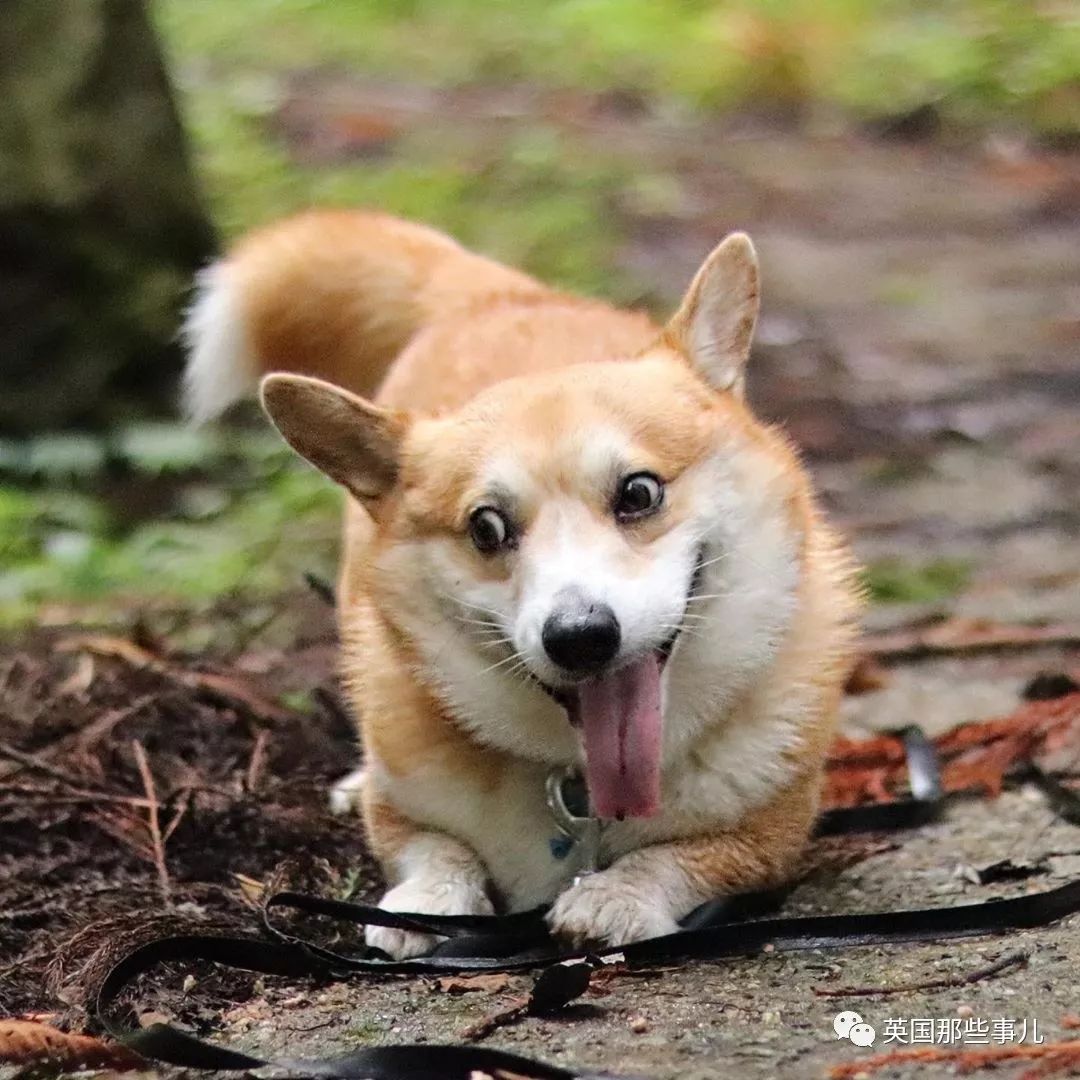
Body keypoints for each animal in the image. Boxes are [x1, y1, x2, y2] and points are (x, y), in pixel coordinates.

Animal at [185, 208, 859, 954]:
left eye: (639, 492)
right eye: (486, 529)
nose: (581, 636)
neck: (584, 787)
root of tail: (494, 295)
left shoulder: (771, 836)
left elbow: (684, 856)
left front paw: (616, 897)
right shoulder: (404, 812)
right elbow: (432, 845)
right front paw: (427, 901)